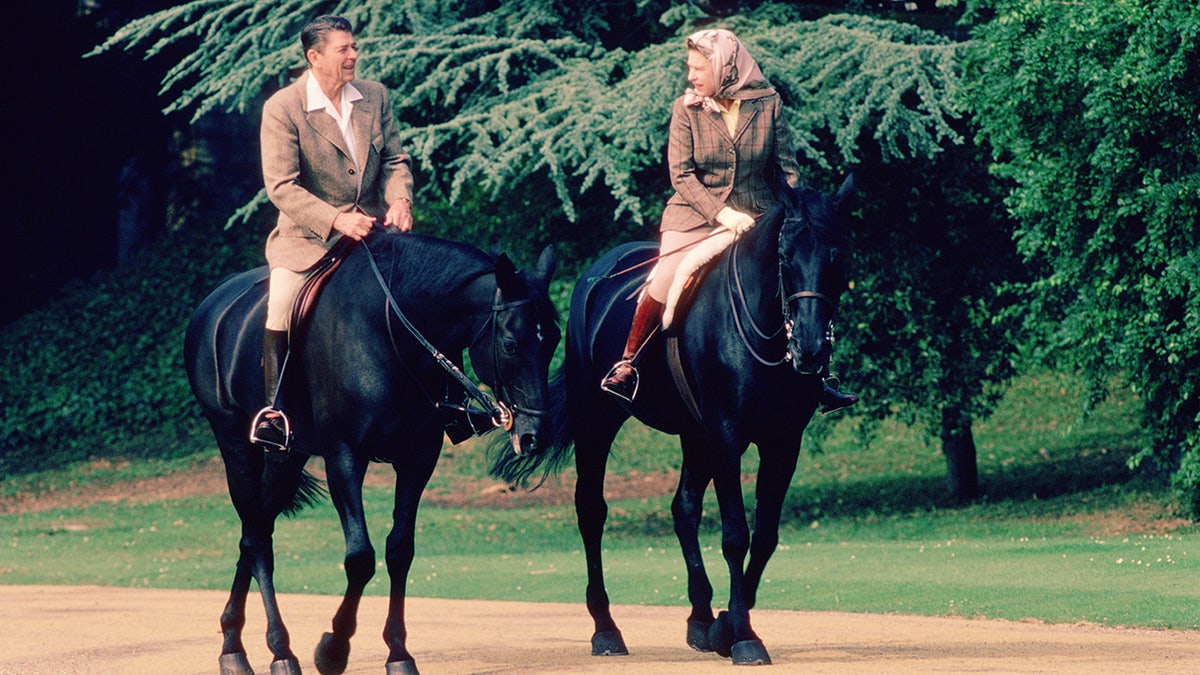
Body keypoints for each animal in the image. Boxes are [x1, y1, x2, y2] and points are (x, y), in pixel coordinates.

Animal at [184, 228, 559, 667]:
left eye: (553, 340)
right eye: (511, 344)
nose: (536, 436)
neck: (391, 331)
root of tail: (215, 302)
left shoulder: (418, 457)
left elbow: (399, 550)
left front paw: (398, 652)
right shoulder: (344, 457)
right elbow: (360, 558)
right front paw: (333, 648)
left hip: (285, 457)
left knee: (254, 530)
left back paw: (233, 643)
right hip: (234, 442)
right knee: (257, 537)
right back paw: (278, 651)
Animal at [506, 172, 854, 662]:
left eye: (839, 258)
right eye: (784, 258)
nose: (810, 349)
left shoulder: (783, 441)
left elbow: (765, 535)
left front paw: (727, 624)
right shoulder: (727, 435)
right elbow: (736, 534)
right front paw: (744, 637)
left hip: (695, 435)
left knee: (683, 508)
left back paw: (701, 618)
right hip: (598, 421)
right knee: (591, 510)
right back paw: (606, 629)